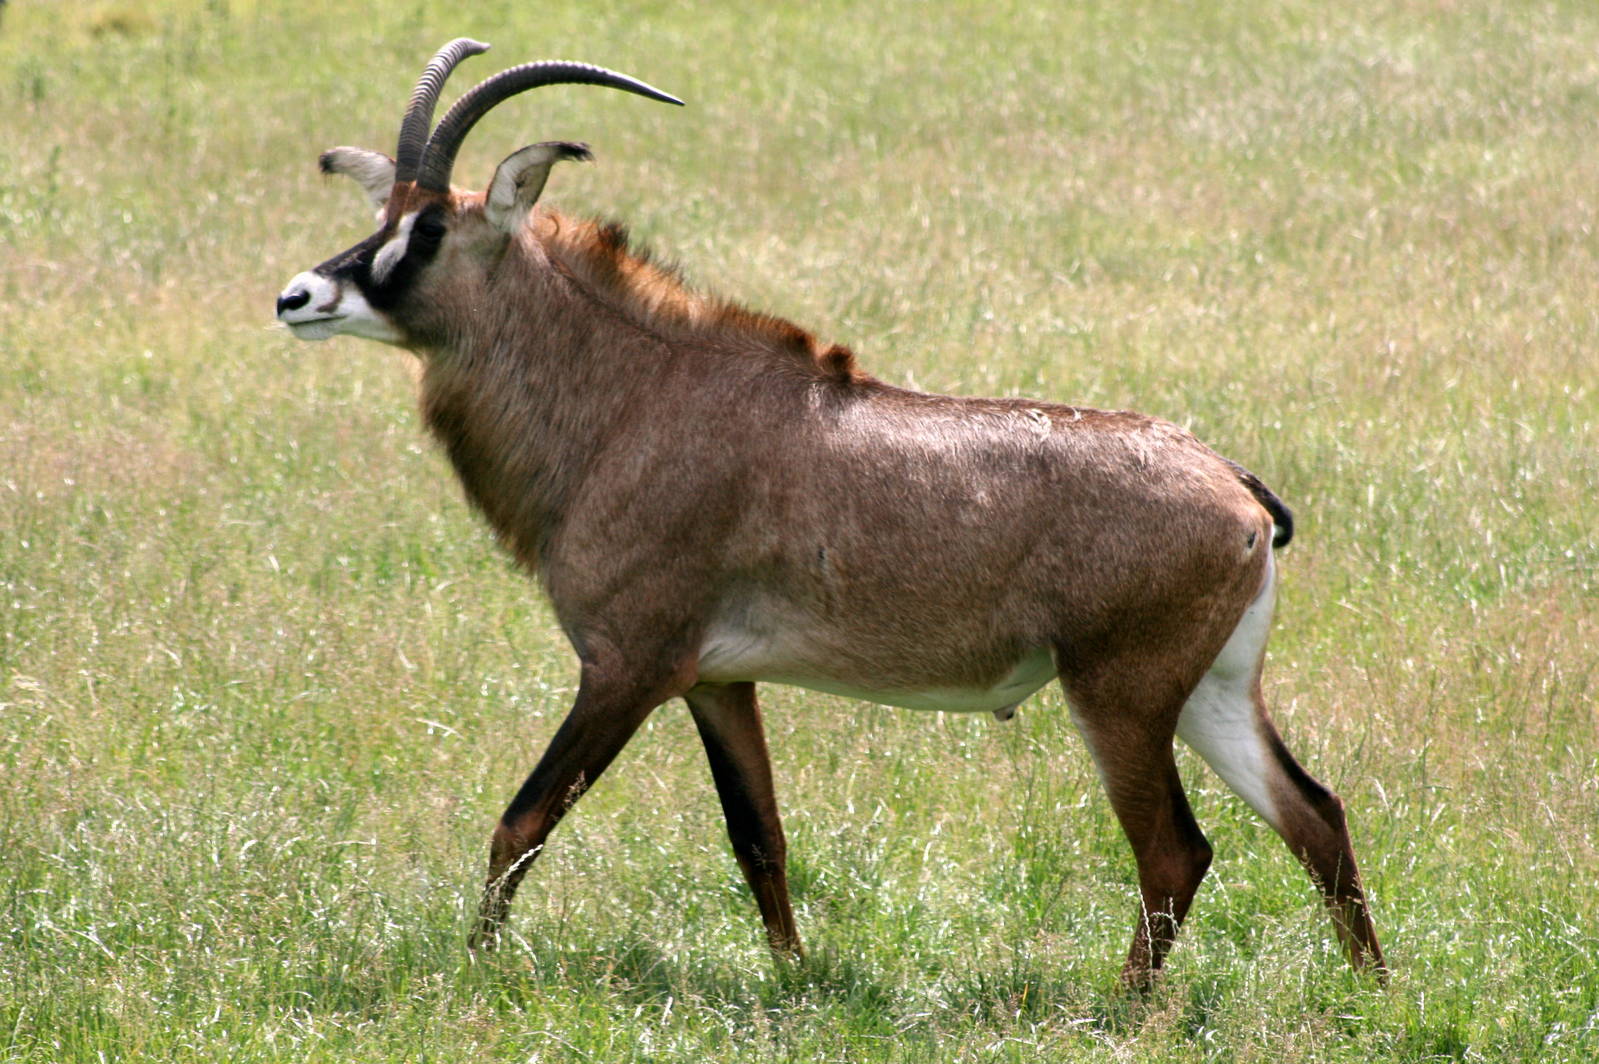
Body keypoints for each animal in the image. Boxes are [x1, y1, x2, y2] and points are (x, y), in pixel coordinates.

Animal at [275, 39, 1387, 989]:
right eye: (385, 213)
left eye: (429, 229)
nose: (297, 296)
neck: (634, 396)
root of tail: (1235, 487)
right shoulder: (716, 680)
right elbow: (757, 836)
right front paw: (795, 978)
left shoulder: (626, 666)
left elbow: (522, 820)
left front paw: (474, 966)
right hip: (1210, 693)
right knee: (1314, 815)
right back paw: (1370, 992)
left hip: (1119, 696)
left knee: (1175, 850)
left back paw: (1123, 1008)